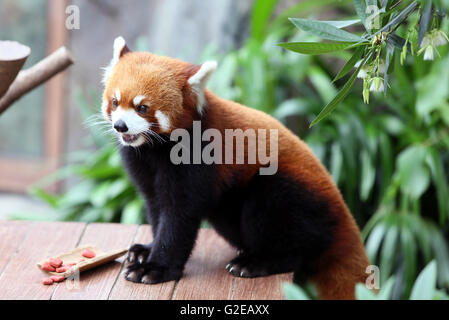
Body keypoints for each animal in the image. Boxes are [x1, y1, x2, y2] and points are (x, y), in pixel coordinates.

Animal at [102, 37, 372, 300]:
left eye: (142, 108)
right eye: (115, 102)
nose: (120, 126)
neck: (154, 149)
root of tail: (343, 213)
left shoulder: (197, 158)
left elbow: (179, 215)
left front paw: (155, 268)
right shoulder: (142, 165)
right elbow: (156, 208)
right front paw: (146, 250)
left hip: (297, 196)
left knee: (275, 214)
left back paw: (258, 262)